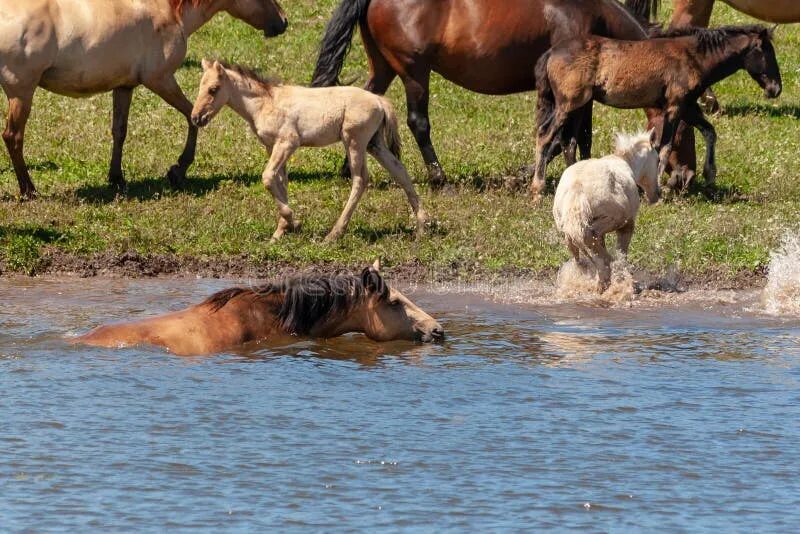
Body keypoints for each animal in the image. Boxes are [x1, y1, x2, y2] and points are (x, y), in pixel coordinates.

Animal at [0, 0, 288, 199]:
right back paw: (28, 189)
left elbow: (119, 131)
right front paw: (178, 169)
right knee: (13, 137)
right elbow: (191, 118)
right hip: (22, 92)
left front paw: (116, 177)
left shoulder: (124, 87)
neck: (168, 10)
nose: (284, 21)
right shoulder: (160, 80)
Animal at [191, 60, 428, 243]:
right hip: (374, 143)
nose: (196, 118)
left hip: (354, 141)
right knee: (400, 171)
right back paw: (421, 227)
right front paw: (282, 230)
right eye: (200, 87)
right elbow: (280, 181)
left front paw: (293, 221)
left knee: (360, 179)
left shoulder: (288, 143)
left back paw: (334, 234)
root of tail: (379, 100)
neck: (266, 102)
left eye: (213, 89)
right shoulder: (272, 147)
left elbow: (267, 177)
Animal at [310, 0, 692, 191]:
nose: (683, 179)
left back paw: (349, 167)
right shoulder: (571, 93)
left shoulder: (582, 92)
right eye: (682, 131)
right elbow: (559, 137)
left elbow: (576, 136)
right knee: (418, 122)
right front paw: (529, 175)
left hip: (384, 67)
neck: (592, 15)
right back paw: (439, 178)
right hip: (414, 72)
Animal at [532, 24, 780, 198]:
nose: (776, 88)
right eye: (765, 51)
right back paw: (538, 187)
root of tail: (551, 52)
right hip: (568, 105)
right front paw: (659, 189)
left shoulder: (687, 107)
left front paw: (710, 175)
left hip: (579, 107)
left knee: (568, 143)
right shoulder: (674, 107)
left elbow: (710, 132)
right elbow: (665, 146)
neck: (693, 57)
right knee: (545, 135)